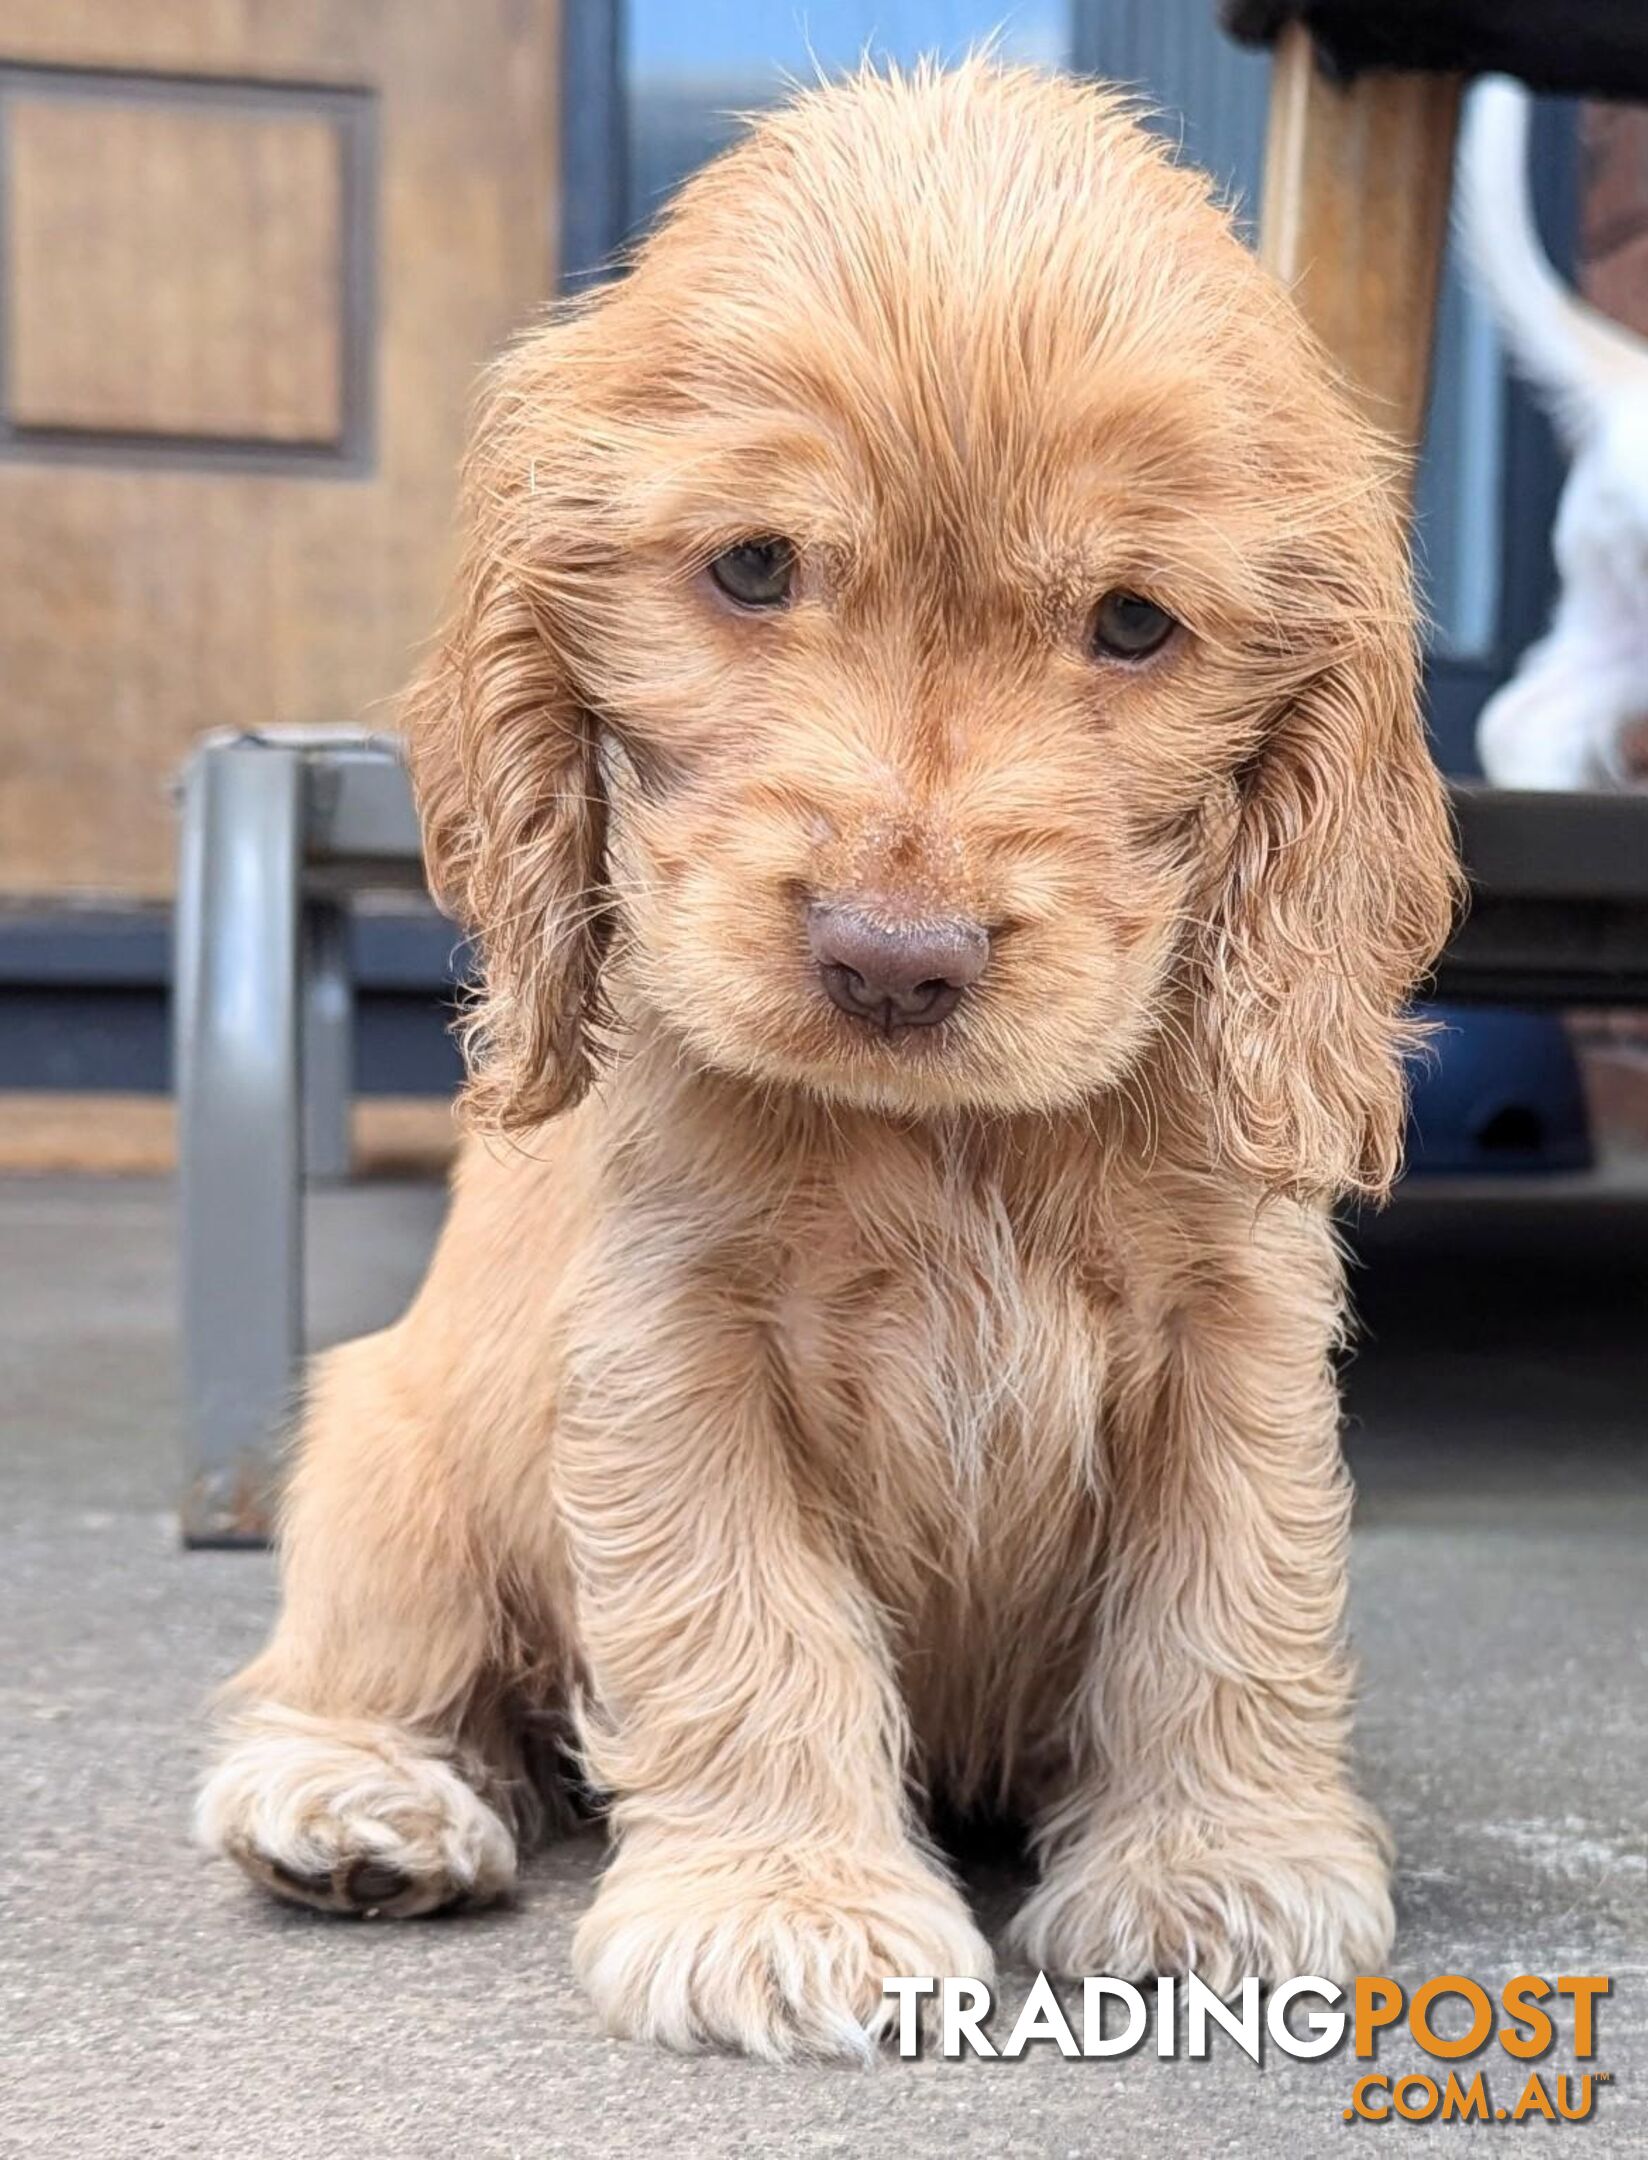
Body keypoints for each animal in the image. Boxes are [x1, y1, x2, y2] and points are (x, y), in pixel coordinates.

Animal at [203, 63, 1460, 2056]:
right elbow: (742, 1624)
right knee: (369, 1656)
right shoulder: (675, 1344)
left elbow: (1227, 1597)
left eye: (1133, 623)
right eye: (751, 567)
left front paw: (1218, 1870)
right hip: (389, 1449)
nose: (892, 958)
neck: (956, 1142)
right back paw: (358, 1803)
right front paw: (782, 1908)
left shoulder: (1234, 1339)